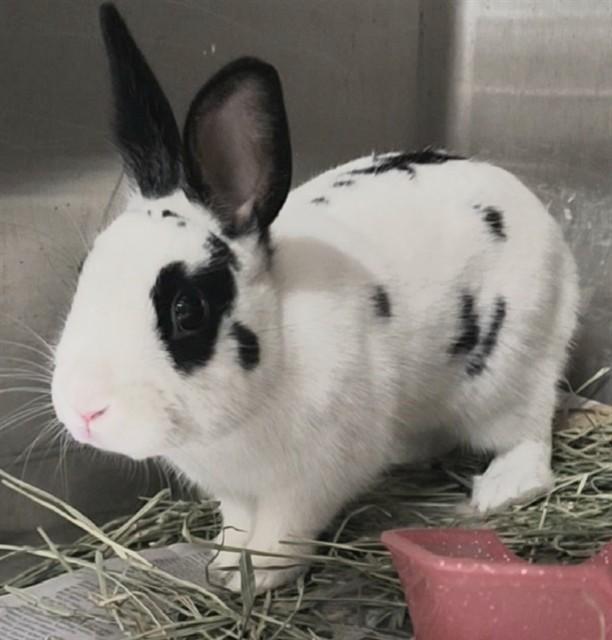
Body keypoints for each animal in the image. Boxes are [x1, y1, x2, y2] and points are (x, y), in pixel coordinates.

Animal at [51, 3, 579, 593]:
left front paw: (256, 577)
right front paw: (226, 563)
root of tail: (537, 212)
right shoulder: (235, 491)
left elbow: (284, 530)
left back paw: (500, 488)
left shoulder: (311, 481)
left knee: (529, 437)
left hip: (511, 373)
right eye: (83, 274)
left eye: (188, 311)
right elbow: (238, 524)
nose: (83, 410)